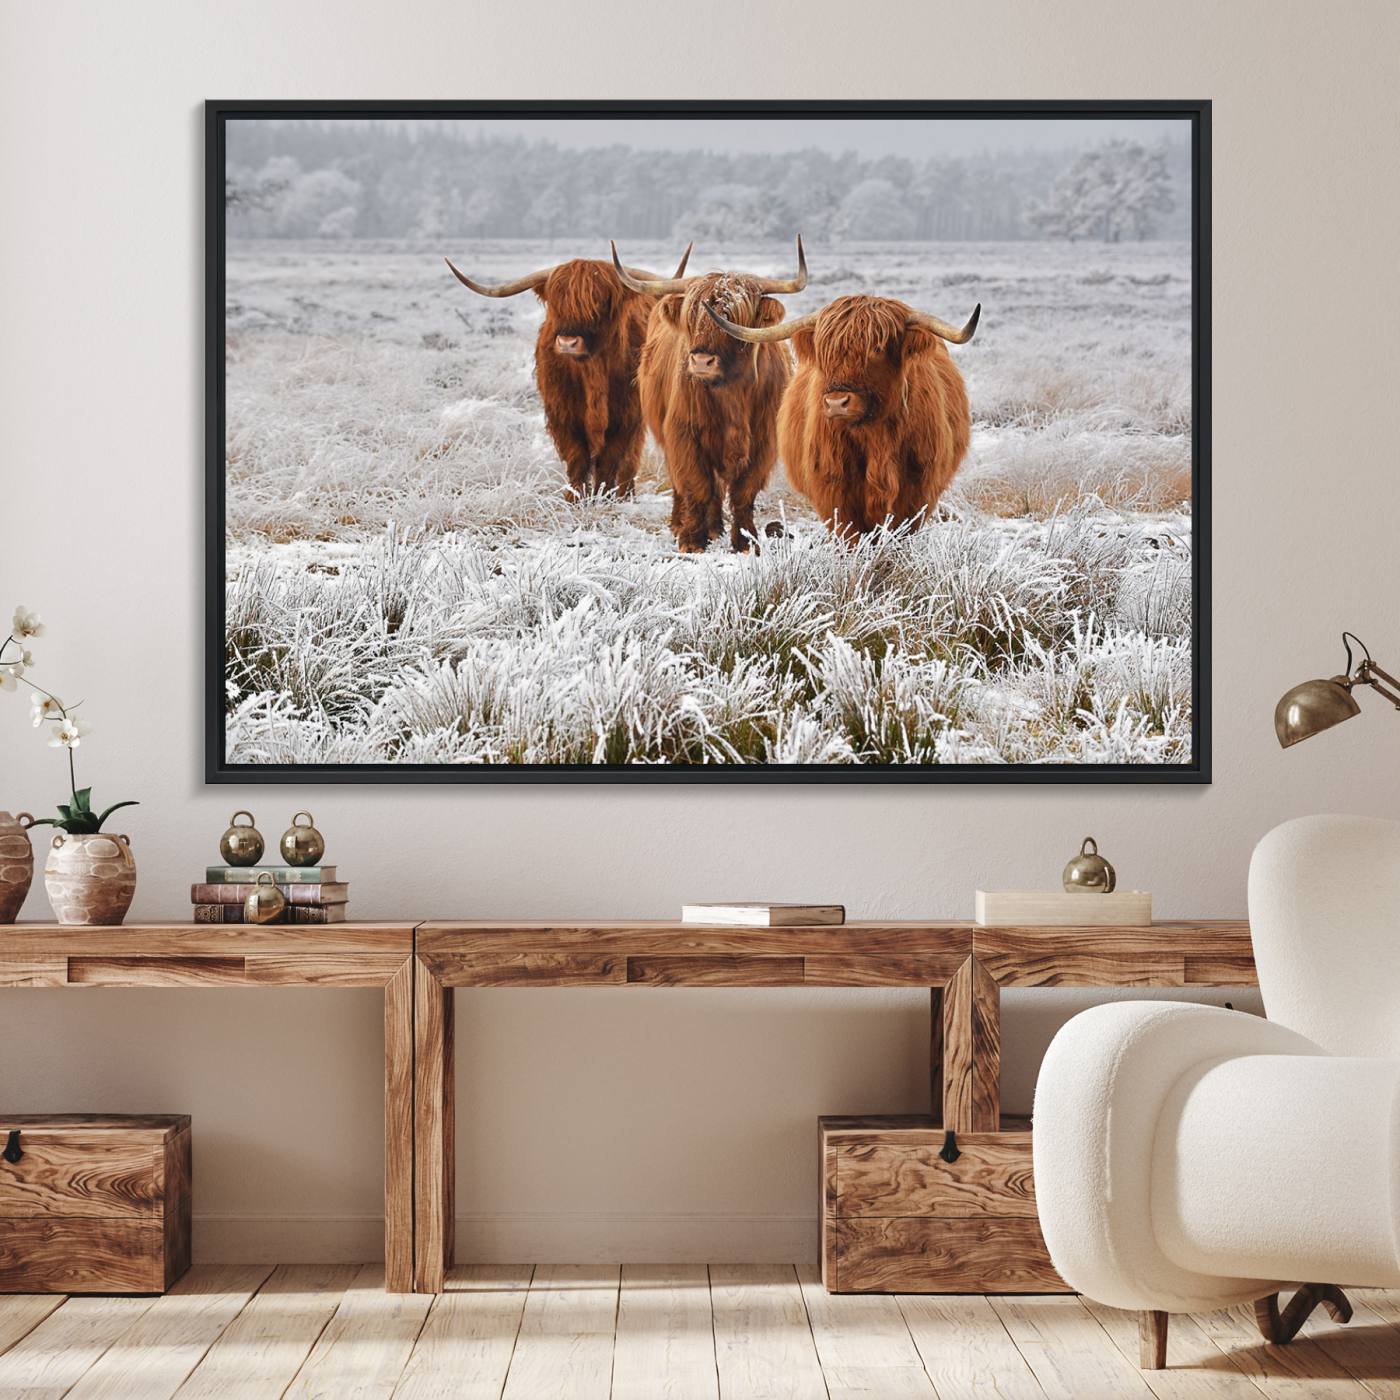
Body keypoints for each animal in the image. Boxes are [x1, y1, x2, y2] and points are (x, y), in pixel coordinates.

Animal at [444, 246, 691, 498]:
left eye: (599, 301)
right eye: (556, 303)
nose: (567, 343)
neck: (592, 373)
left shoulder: (627, 415)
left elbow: (609, 460)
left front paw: (603, 496)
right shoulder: (562, 415)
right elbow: (577, 459)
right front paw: (574, 498)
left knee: (630, 460)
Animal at [610, 238, 807, 553]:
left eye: (733, 318)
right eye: (691, 317)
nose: (701, 361)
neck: (732, 394)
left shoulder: (763, 442)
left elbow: (743, 492)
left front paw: (746, 541)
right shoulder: (684, 434)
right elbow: (697, 485)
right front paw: (691, 540)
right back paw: (684, 524)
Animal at [705, 293, 980, 536]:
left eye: (877, 348)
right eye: (824, 351)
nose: (837, 403)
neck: (876, 438)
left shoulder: (917, 491)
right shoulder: (834, 491)